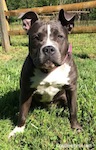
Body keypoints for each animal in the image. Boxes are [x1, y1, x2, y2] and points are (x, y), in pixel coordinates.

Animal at [8, 9, 82, 138]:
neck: (50, 70)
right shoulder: (26, 91)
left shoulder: (71, 88)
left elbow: (73, 109)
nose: (48, 49)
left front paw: (75, 127)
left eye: (60, 36)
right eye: (36, 37)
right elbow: (23, 112)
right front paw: (18, 130)